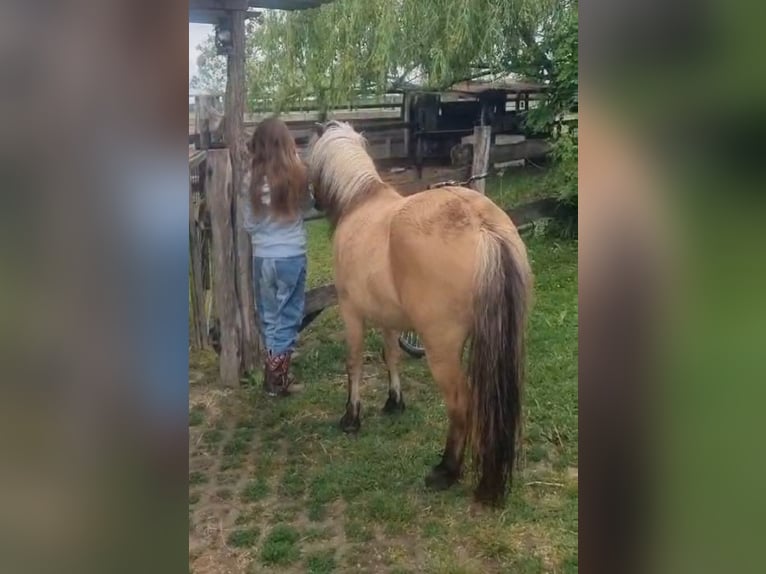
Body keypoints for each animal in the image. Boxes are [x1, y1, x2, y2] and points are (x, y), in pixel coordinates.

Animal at [307, 121, 533, 505]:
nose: (313, 201)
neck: (360, 202)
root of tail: (482, 225)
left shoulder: (352, 312)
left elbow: (353, 363)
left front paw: (351, 418)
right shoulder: (388, 318)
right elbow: (391, 355)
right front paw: (393, 403)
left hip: (441, 350)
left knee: (461, 403)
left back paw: (446, 471)